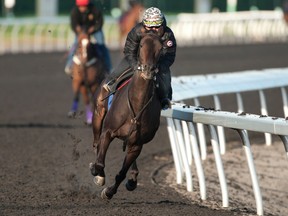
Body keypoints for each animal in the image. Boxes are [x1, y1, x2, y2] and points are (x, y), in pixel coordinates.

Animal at [89, 33, 163, 200]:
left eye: (161, 47)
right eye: (141, 45)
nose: (148, 69)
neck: (136, 105)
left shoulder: (137, 144)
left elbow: (121, 173)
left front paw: (109, 192)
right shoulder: (108, 132)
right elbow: (100, 163)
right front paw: (97, 174)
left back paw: (133, 177)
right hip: (98, 112)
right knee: (96, 142)